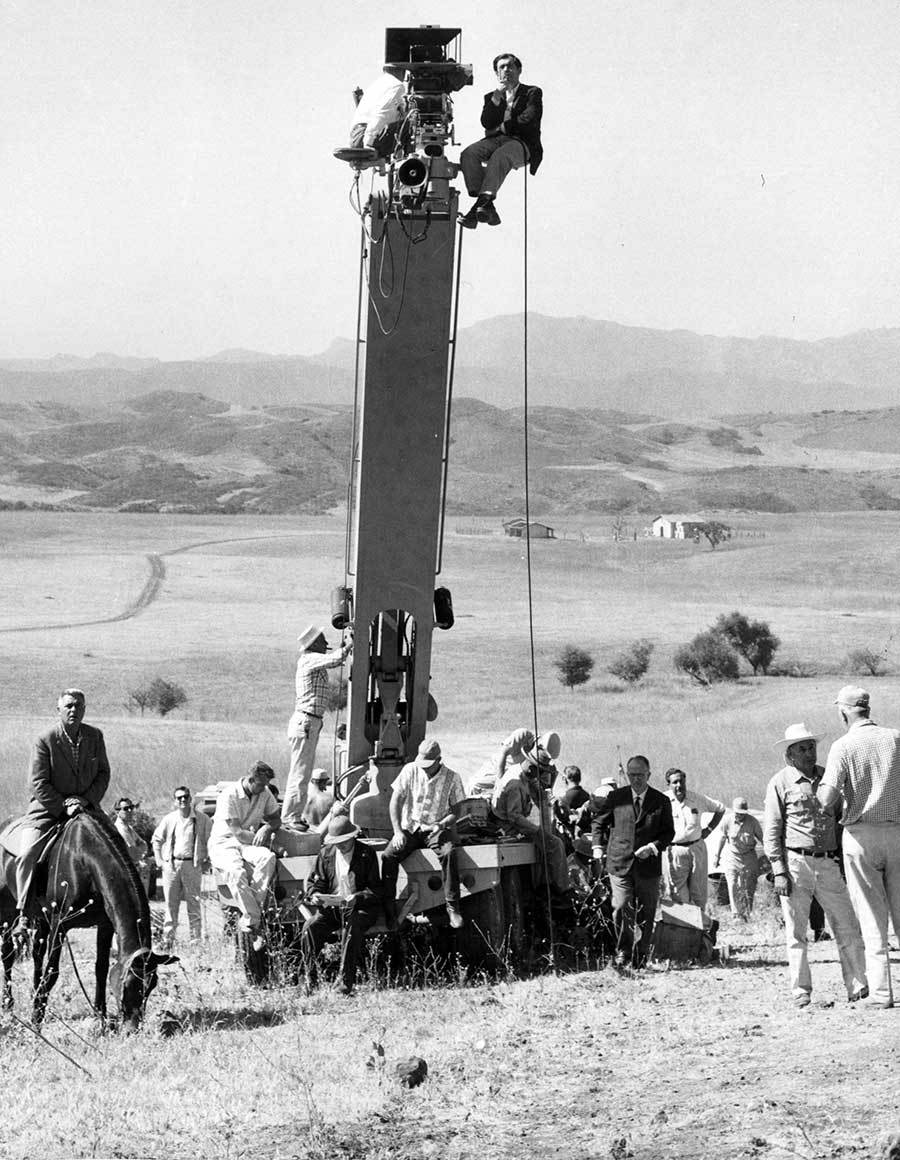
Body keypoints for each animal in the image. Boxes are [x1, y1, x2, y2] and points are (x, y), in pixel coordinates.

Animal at [0, 812, 177, 1030]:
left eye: (152, 985)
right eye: (128, 984)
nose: (133, 1027)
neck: (83, 861)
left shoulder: (105, 925)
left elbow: (101, 968)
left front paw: (100, 1016)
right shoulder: (59, 925)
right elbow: (52, 971)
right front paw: (36, 1019)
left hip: (40, 917)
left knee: (36, 955)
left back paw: (34, 994)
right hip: (8, 912)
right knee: (8, 954)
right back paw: (8, 1004)